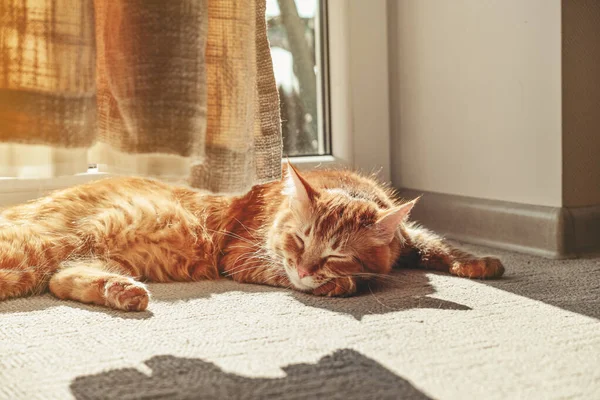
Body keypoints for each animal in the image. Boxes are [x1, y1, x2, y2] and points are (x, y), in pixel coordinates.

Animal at [0, 164, 506, 310]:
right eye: (299, 241)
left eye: (335, 253)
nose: (306, 266)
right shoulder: (241, 256)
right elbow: (279, 273)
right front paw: (337, 285)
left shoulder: (406, 234)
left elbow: (435, 243)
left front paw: (479, 262)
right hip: (29, 252)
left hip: (89, 261)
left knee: (62, 281)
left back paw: (124, 293)